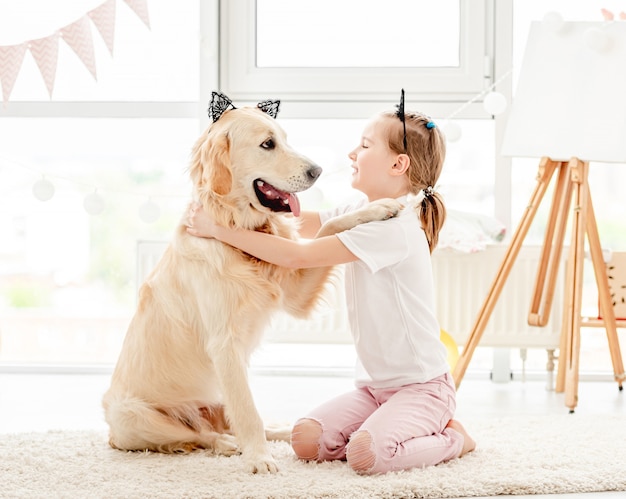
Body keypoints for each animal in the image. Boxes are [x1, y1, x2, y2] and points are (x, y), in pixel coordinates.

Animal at [102, 92, 400, 474]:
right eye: (267, 144)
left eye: (285, 139)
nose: (316, 171)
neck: (236, 230)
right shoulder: (224, 344)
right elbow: (248, 412)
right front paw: (259, 459)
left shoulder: (294, 292)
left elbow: (329, 225)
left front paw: (379, 207)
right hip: (131, 414)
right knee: (200, 435)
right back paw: (226, 444)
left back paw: (285, 430)